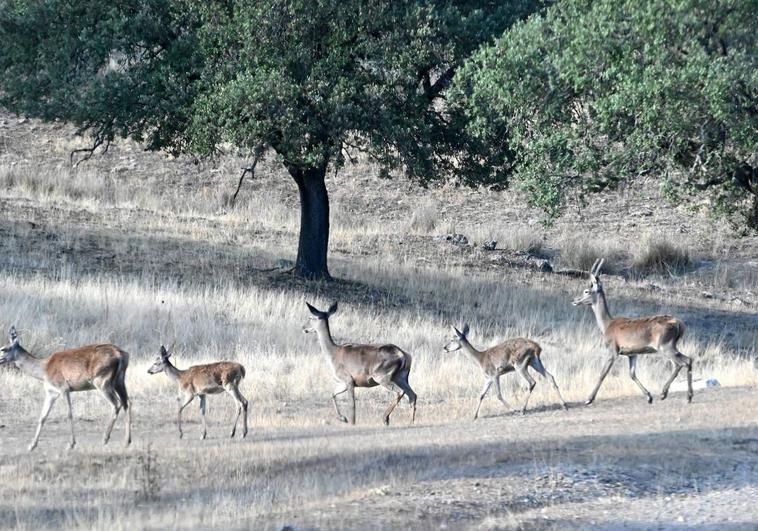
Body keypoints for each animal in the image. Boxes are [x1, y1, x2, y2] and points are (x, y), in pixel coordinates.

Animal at [0, 326, 131, 450]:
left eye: (4, 349)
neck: (43, 370)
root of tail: (122, 355)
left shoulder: (63, 387)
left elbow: (69, 414)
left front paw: (71, 444)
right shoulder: (51, 392)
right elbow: (43, 416)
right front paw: (32, 445)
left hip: (102, 381)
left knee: (116, 403)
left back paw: (105, 439)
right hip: (119, 380)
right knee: (127, 402)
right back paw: (126, 441)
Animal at [576, 258, 696, 404]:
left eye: (586, 291)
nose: (575, 300)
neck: (606, 325)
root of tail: (679, 324)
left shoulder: (613, 349)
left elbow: (603, 373)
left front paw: (589, 399)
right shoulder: (632, 354)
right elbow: (632, 374)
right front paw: (649, 396)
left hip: (665, 345)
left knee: (683, 362)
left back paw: (672, 394)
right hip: (669, 345)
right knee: (684, 361)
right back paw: (679, 395)